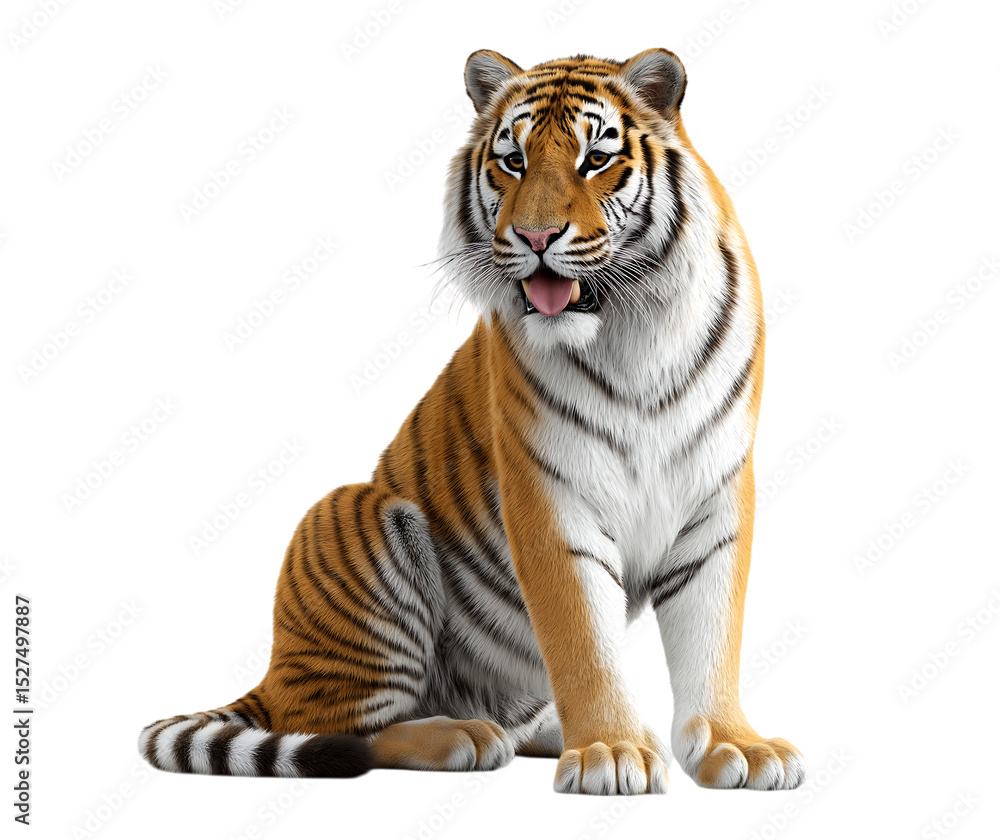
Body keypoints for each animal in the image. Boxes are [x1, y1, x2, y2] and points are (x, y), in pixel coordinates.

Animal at [139, 48, 804, 796]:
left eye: (596, 157)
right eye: (513, 160)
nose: (536, 236)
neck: (634, 329)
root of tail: (272, 675)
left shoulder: (717, 494)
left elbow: (713, 638)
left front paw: (735, 746)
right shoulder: (550, 500)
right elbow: (584, 643)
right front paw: (610, 752)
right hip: (355, 516)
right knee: (339, 728)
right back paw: (463, 735)